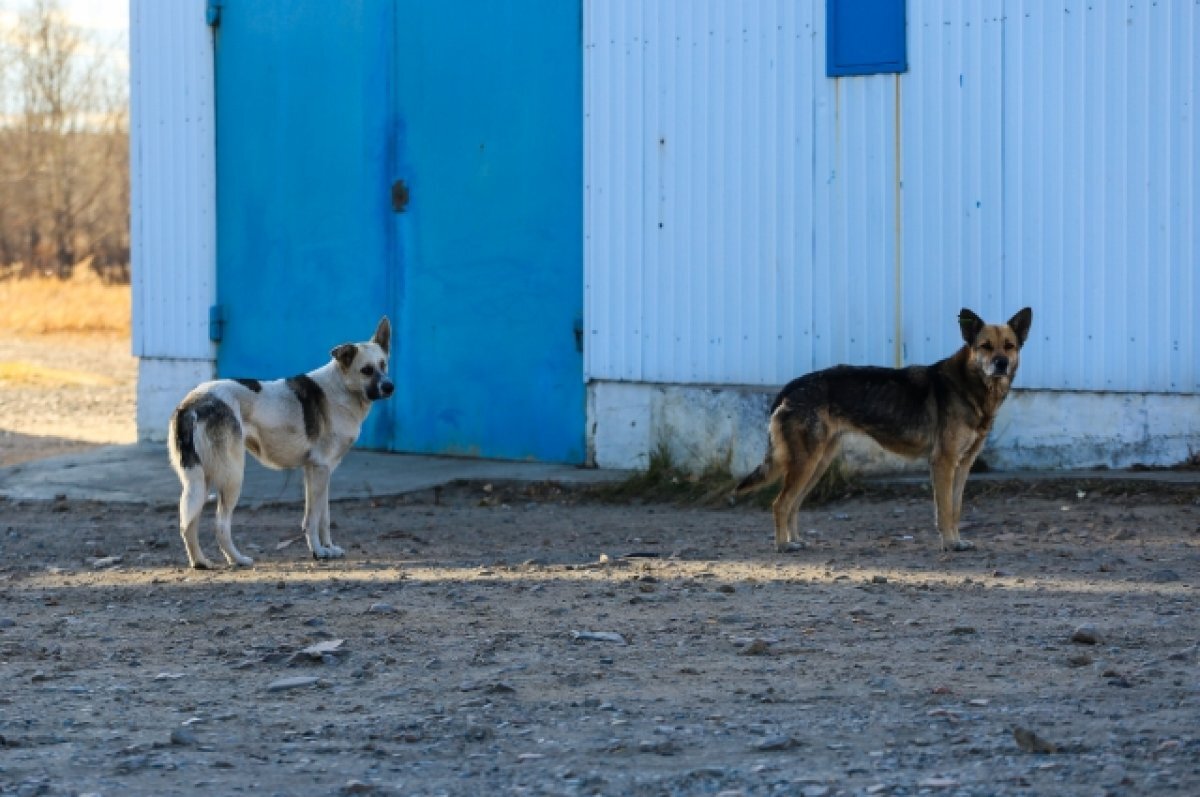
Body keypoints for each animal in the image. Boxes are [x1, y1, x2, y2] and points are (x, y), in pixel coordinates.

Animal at [729, 307, 1032, 552]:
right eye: (985, 346)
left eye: (1009, 346)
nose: (1001, 364)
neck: (969, 384)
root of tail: (792, 387)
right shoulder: (944, 462)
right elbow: (945, 510)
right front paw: (949, 543)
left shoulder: (963, 464)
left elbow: (956, 509)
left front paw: (957, 540)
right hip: (807, 463)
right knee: (780, 504)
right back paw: (783, 545)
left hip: (817, 465)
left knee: (793, 504)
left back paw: (795, 541)